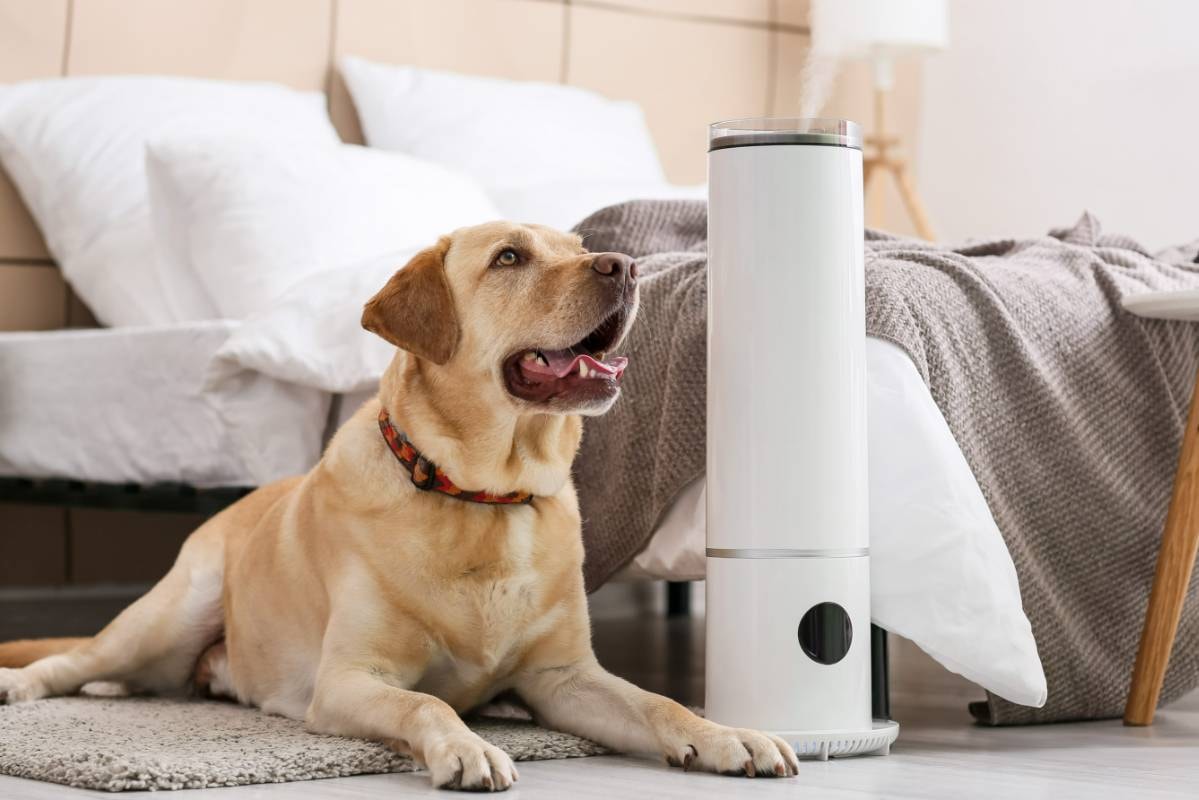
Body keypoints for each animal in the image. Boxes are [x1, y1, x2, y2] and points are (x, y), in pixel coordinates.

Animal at [0, 221, 796, 791]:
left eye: (577, 248)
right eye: (509, 257)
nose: (624, 267)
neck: (483, 495)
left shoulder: (566, 677)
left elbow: (659, 703)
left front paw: (728, 734)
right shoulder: (349, 680)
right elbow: (427, 702)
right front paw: (468, 750)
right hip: (170, 614)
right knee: (76, 660)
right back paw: (22, 685)